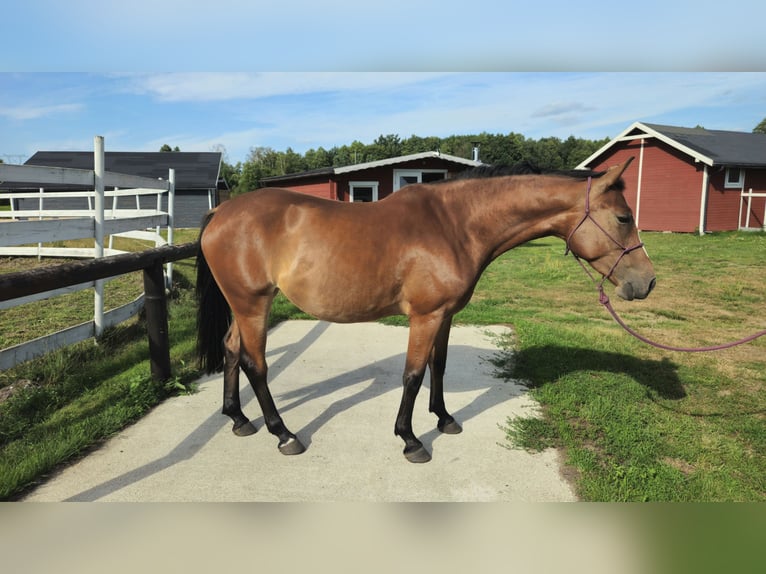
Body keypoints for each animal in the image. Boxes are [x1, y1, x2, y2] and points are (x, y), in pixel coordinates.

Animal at [195, 157, 655, 463]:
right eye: (622, 217)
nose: (646, 282)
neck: (453, 224)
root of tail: (221, 210)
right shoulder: (425, 316)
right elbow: (413, 374)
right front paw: (410, 439)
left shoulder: (445, 315)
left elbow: (439, 365)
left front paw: (444, 418)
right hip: (253, 304)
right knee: (255, 363)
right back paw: (284, 434)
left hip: (244, 306)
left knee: (231, 349)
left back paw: (238, 418)